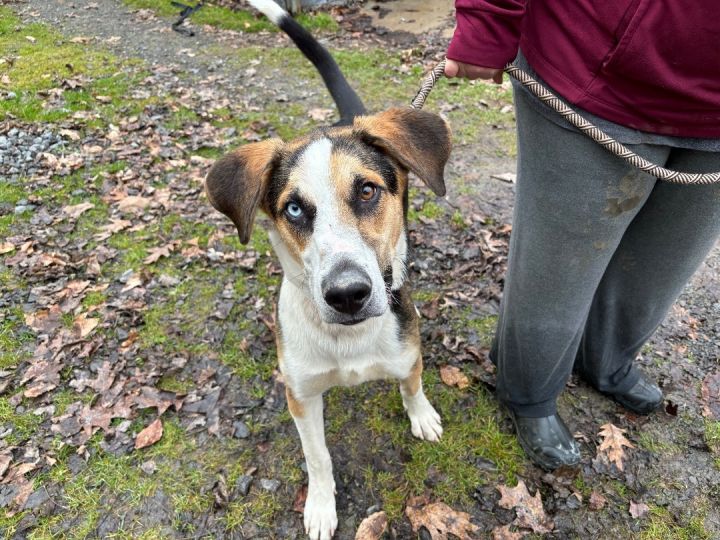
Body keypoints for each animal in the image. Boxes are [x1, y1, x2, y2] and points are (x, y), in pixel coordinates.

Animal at [204, 2, 450, 536]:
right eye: (294, 209)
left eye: (367, 190)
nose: (348, 294)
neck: (349, 339)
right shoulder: (302, 395)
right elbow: (317, 457)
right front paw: (319, 505)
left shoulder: (407, 350)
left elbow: (413, 381)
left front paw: (421, 414)